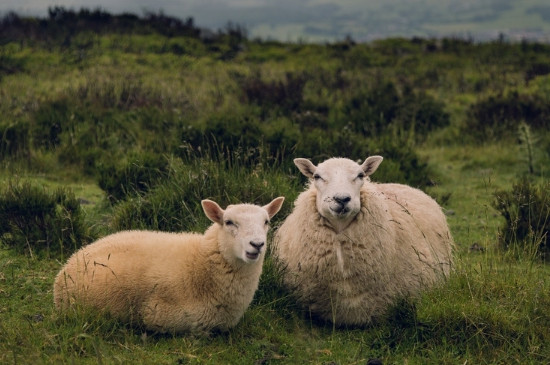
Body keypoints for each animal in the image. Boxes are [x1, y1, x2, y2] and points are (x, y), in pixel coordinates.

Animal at [54, 196, 286, 332]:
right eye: (229, 222)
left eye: (266, 222)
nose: (257, 244)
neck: (202, 264)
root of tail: (71, 260)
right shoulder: (164, 316)